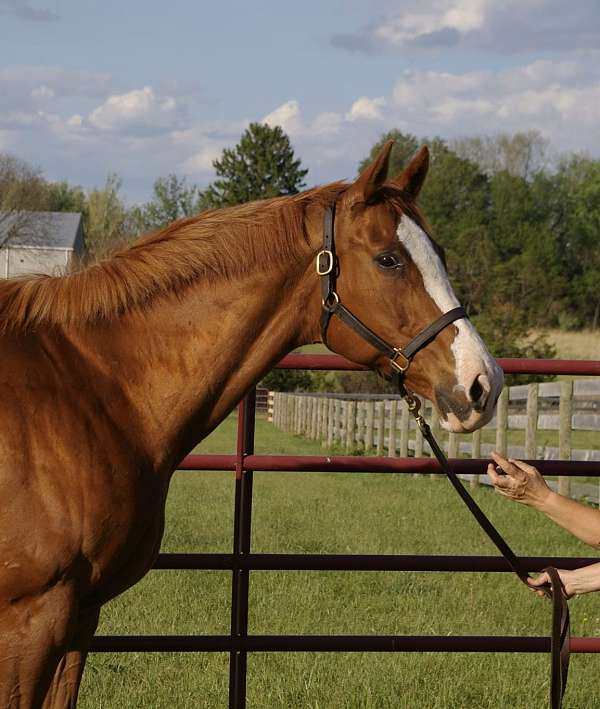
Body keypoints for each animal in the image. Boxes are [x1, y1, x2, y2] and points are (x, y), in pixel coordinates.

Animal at [0, 141, 503, 707]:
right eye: (388, 259)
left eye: (439, 254)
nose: (483, 384)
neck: (89, 386)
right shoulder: (30, 621)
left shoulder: (81, 616)